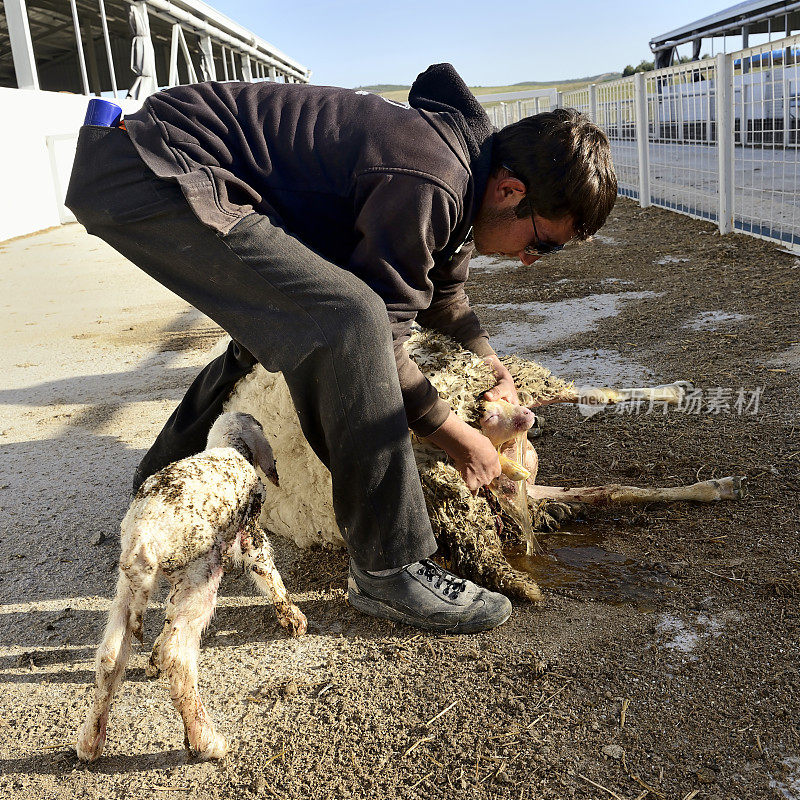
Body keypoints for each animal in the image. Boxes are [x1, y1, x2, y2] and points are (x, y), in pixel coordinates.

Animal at [76, 412, 306, 764]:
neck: (227, 445)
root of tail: (144, 536)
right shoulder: (250, 535)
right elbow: (269, 574)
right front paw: (292, 618)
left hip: (129, 589)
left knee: (110, 657)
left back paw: (90, 741)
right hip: (201, 574)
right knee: (177, 654)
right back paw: (206, 740)